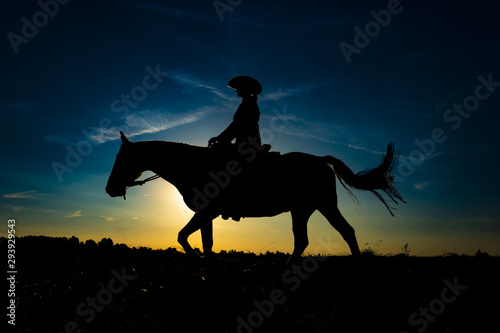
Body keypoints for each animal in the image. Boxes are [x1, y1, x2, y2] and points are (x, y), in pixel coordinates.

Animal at [107, 131, 404, 264]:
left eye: (121, 157)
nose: (110, 189)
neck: (193, 166)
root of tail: (321, 160)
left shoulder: (207, 212)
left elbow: (184, 237)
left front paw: (196, 262)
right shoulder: (206, 214)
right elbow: (205, 242)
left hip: (325, 206)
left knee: (346, 231)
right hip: (302, 210)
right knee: (302, 240)